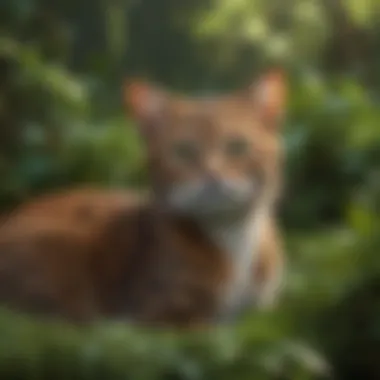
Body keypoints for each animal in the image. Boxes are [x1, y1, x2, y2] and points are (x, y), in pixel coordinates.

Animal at [0, 70, 286, 326]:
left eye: (237, 147)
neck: (232, 238)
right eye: (183, 151)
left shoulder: (260, 311)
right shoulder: (156, 314)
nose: (212, 174)